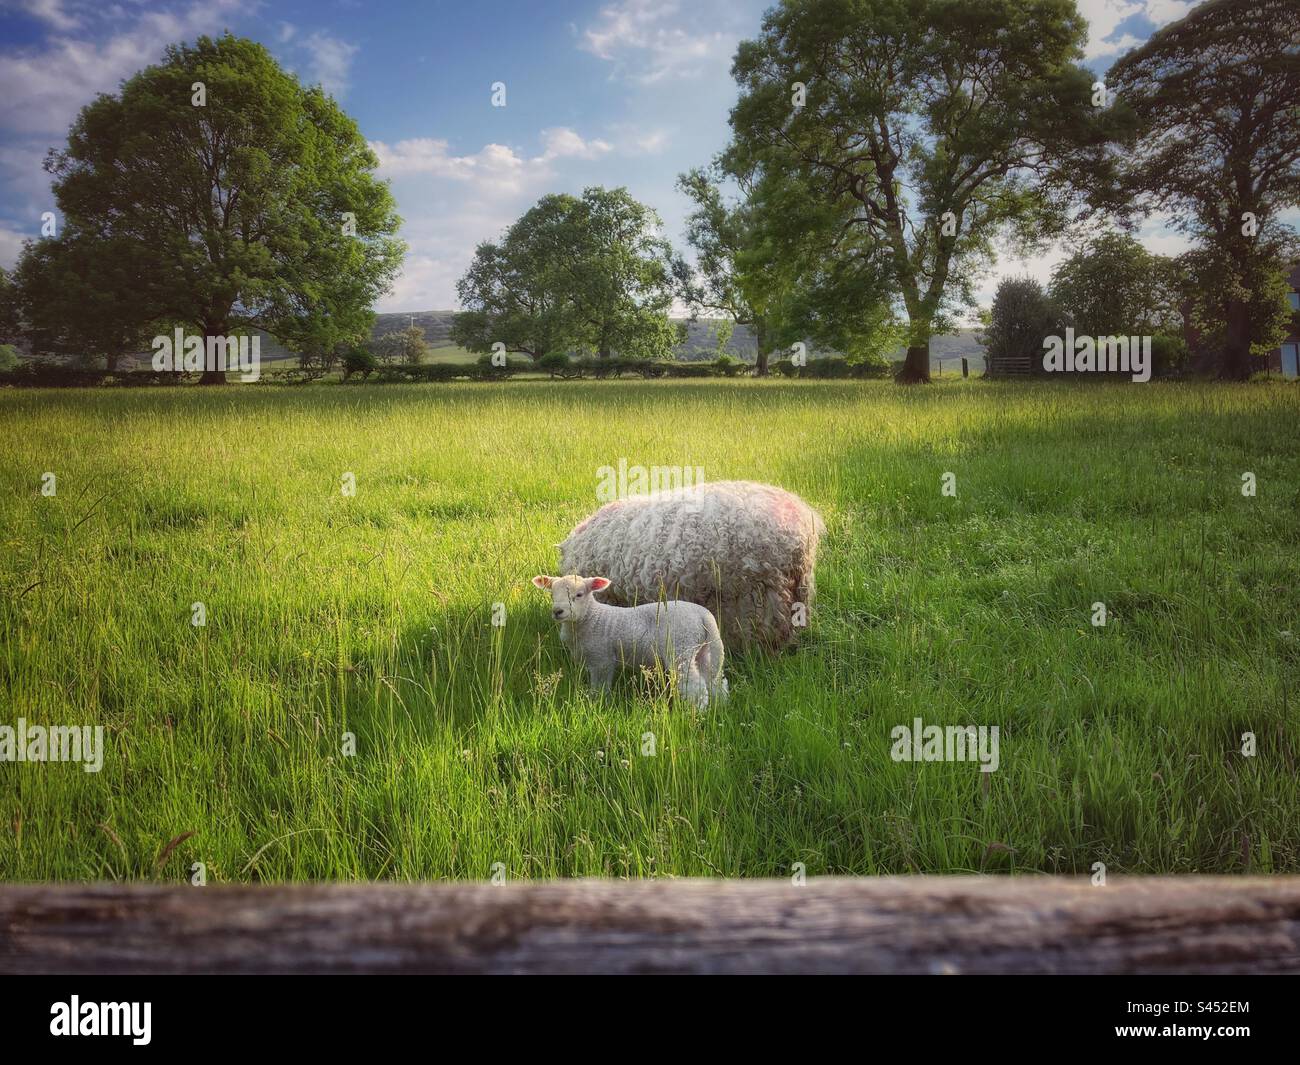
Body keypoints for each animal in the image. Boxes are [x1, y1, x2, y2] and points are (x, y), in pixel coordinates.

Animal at [532, 574, 728, 708]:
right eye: (552, 594)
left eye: (579, 594)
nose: (558, 611)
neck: (591, 617)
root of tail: (704, 615)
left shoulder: (602, 660)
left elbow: (600, 687)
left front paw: (598, 703)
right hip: (703, 650)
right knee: (715, 680)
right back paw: (720, 706)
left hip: (681, 647)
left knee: (695, 685)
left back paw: (696, 713)